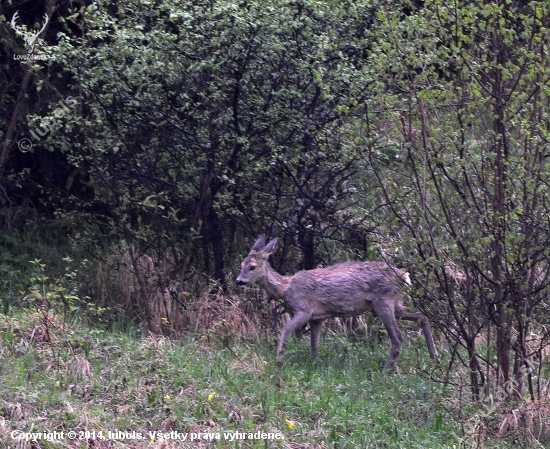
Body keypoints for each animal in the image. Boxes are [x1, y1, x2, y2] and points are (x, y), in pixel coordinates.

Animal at [235, 234, 442, 368]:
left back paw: (385, 370)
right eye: (241, 264)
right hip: (394, 303)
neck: (285, 288)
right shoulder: (317, 317)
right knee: (422, 316)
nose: (239, 281)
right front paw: (313, 363)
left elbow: (285, 329)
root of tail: (404, 276)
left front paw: (278, 360)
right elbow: (314, 344)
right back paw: (435, 357)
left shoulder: (303, 309)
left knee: (398, 339)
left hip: (383, 302)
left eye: (252, 267)